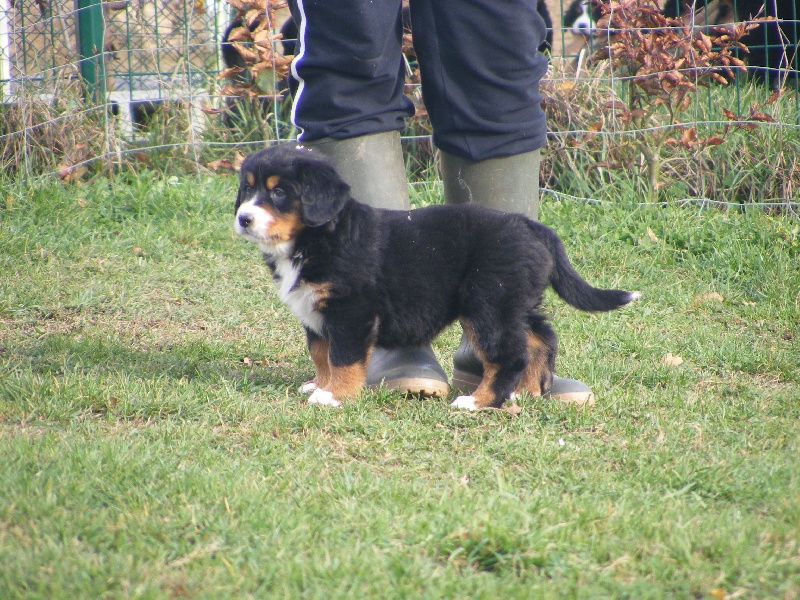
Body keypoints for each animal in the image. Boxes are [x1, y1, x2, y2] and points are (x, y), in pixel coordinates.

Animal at [234, 144, 639, 410]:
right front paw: (318, 384)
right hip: (515, 301)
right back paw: (526, 392)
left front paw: (334, 395)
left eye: (279, 192)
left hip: (488, 304)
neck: (316, 237)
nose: (243, 218)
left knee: (509, 355)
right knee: (540, 339)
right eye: (248, 188)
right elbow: (321, 353)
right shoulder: (316, 313)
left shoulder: (351, 310)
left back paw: (478, 402)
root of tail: (529, 225)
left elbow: (343, 357)